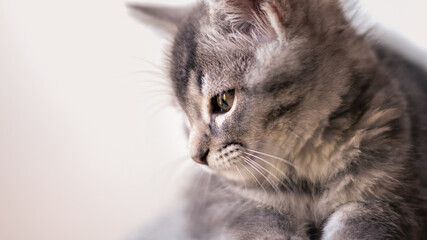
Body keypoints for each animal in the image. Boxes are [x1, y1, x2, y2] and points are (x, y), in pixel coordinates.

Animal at [129, 0, 426, 240]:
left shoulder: (387, 200)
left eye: (224, 101)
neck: (308, 169)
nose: (196, 157)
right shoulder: (230, 206)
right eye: (184, 117)